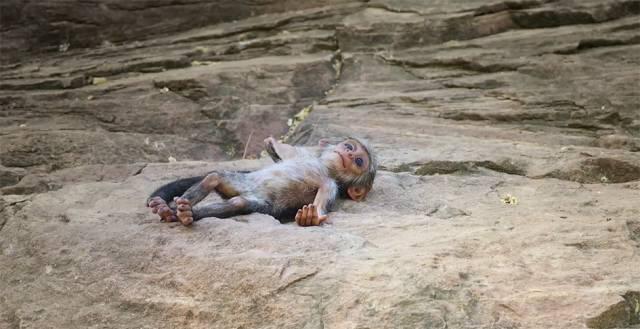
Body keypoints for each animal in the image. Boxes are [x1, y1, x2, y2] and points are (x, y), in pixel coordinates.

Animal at [148, 136, 378, 226]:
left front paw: (312, 217)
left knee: (238, 203)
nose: (348, 155)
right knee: (215, 177)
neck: (324, 167)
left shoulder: (330, 184)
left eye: (359, 161)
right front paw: (272, 143)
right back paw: (168, 209)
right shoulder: (303, 156)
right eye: (349, 147)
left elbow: (320, 204)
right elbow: (285, 153)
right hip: (243, 182)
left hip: (261, 202)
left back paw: (184, 213)